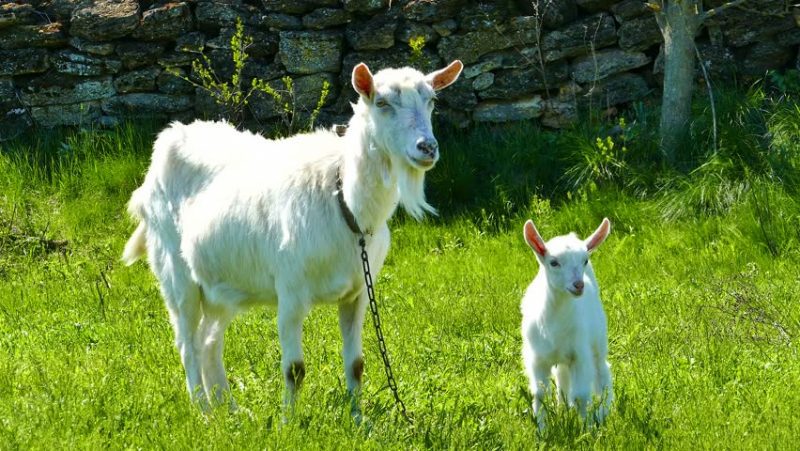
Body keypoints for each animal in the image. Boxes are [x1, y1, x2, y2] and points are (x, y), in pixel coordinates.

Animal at [122, 59, 466, 416]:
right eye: (382, 103)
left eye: (431, 101)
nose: (427, 148)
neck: (344, 200)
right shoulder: (290, 290)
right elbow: (294, 369)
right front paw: (289, 420)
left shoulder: (358, 291)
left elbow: (357, 364)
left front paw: (358, 419)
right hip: (176, 273)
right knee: (187, 343)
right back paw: (203, 411)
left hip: (221, 284)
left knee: (209, 341)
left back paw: (230, 410)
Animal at [520, 219, 616, 430]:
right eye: (553, 262)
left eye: (585, 260)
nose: (578, 285)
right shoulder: (537, 358)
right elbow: (540, 394)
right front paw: (542, 430)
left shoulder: (580, 355)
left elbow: (580, 395)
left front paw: (585, 429)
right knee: (562, 375)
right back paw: (562, 406)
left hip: (597, 341)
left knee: (602, 371)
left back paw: (603, 411)